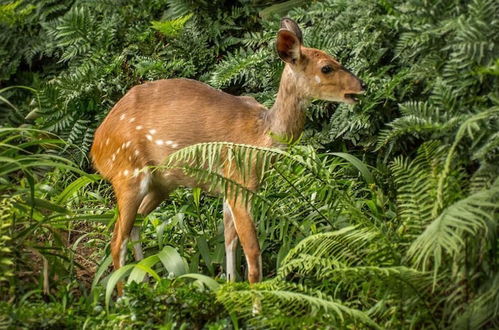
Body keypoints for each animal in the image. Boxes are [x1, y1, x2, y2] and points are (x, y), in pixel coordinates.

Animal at [91, 17, 364, 294]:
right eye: (326, 68)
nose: (361, 86)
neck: (261, 136)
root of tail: (96, 148)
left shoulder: (228, 189)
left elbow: (229, 240)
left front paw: (229, 287)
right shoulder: (239, 185)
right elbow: (252, 253)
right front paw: (255, 302)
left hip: (162, 183)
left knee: (135, 225)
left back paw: (145, 283)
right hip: (128, 174)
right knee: (116, 239)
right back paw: (124, 298)